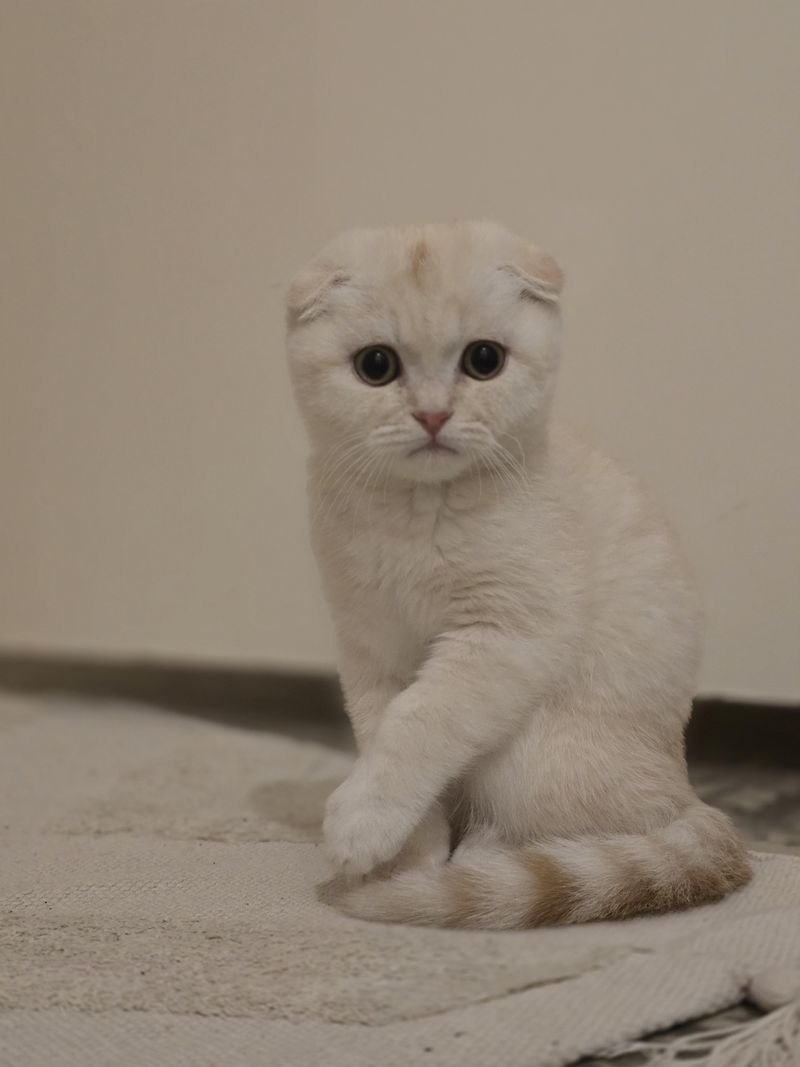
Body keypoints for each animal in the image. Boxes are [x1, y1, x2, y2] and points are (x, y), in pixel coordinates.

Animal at [285, 223, 750, 926]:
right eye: (376, 366)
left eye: (484, 360)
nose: (433, 415)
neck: (420, 513)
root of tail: (686, 792)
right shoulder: (371, 649)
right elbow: (382, 732)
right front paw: (408, 857)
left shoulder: (503, 636)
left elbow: (419, 724)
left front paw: (366, 825)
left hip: (533, 756)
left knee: (561, 838)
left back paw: (483, 867)